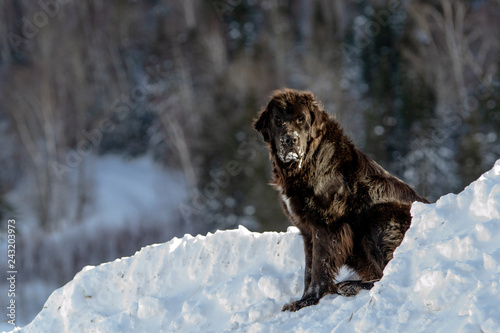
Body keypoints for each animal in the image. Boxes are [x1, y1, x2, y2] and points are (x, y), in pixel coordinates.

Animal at [254, 88, 430, 312]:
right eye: (277, 120)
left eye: (301, 119)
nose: (289, 139)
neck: (309, 162)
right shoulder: (307, 230)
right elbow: (309, 269)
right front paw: (304, 298)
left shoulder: (326, 224)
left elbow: (319, 267)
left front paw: (308, 301)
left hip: (380, 215)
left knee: (386, 272)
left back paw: (351, 285)